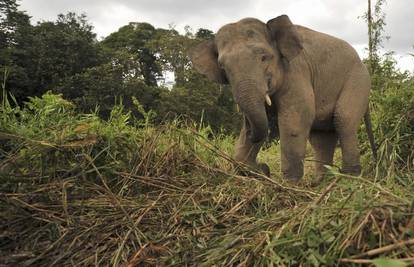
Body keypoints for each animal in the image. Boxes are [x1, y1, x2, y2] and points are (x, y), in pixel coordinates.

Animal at [189, 15, 376, 182]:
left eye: (264, 57)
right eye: (223, 67)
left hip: (358, 81)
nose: (264, 168)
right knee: (321, 137)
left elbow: (297, 118)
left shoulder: (296, 70)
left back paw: (350, 178)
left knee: (343, 121)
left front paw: (290, 183)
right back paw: (321, 182)